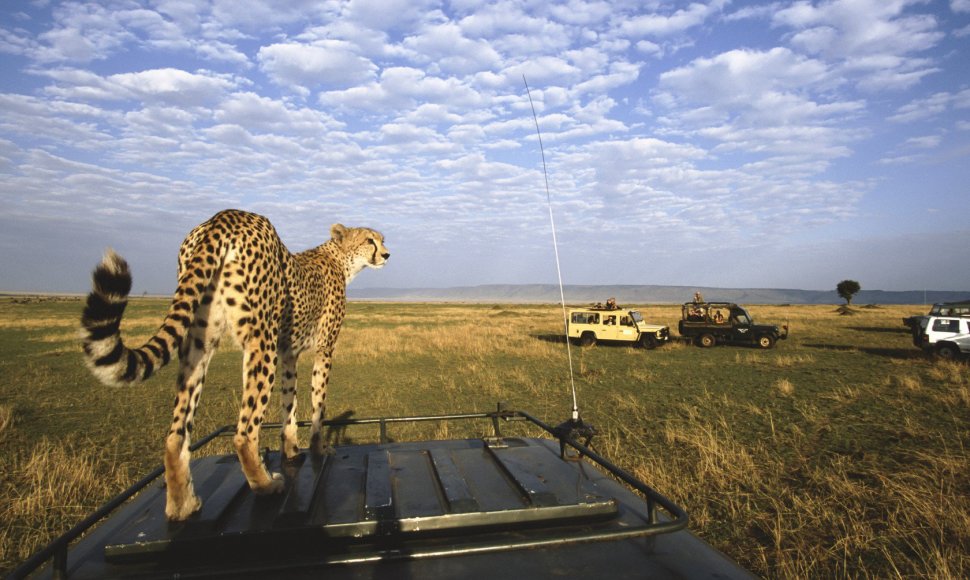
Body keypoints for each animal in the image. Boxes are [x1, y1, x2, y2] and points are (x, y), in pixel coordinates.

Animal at [79, 210, 388, 520]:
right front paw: (319, 448)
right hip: (261, 340)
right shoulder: (323, 349)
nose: (387, 254)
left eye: (381, 239)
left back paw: (183, 505)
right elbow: (317, 404)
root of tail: (225, 217)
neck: (340, 258)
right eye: (369, 240)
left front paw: (291, 449)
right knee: (244, 432)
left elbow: (289, 403)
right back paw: (265, 485)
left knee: (176, 436)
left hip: (199, 342)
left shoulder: (288, 353)